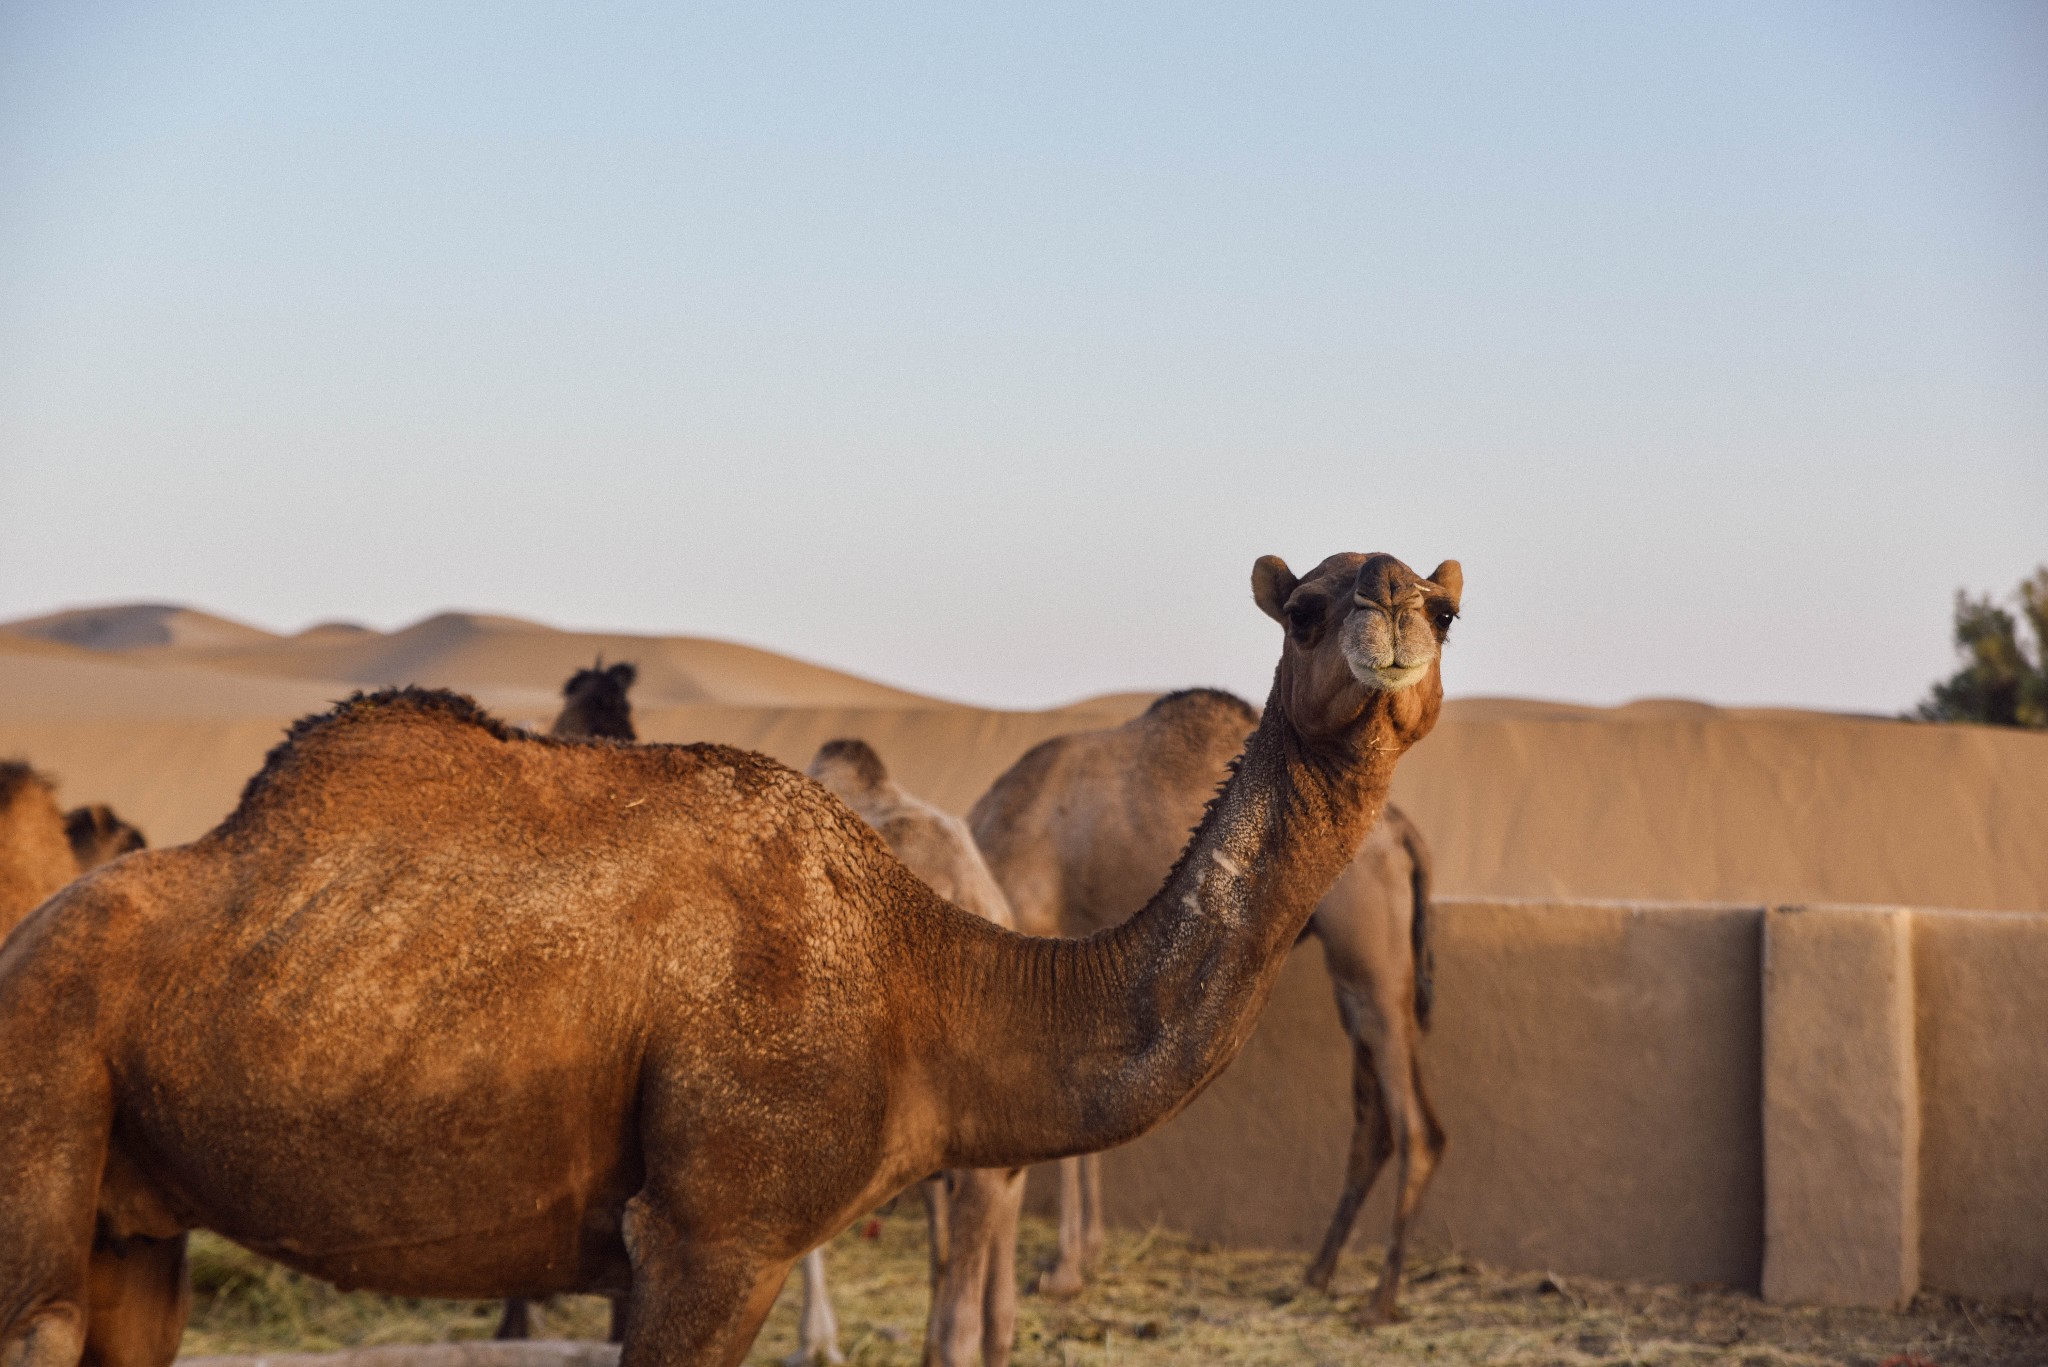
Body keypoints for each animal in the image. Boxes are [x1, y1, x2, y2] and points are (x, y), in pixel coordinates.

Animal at [970, 696, 1441, 1328]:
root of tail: (1403, 833)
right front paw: (1084, 1256)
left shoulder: (1042, 935)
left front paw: (1063, 1271)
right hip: (1363, 977)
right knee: (1377, 1120)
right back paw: (1315, 1274)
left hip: (1368, 953)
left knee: (1416, 1128)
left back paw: (1380, 1300)